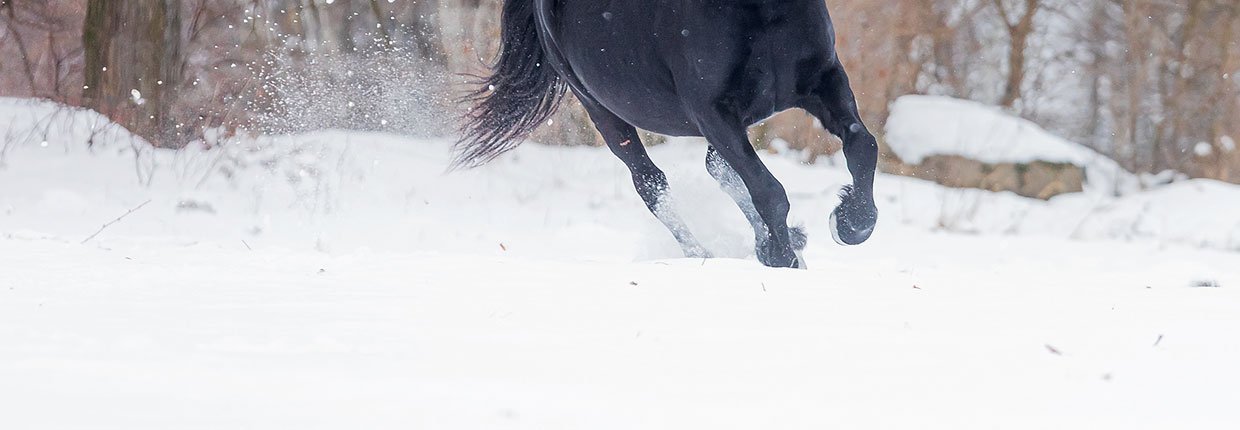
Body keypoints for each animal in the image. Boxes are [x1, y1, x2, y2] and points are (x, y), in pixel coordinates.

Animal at [461, 0, 877, 270]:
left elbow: (863, 146)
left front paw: (849, 225)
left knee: (716, 168)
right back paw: (702, 255)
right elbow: (769, 190)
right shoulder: (711, 112)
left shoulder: (825, 81)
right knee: (651, 183)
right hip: (602, 111)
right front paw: (781, 258)